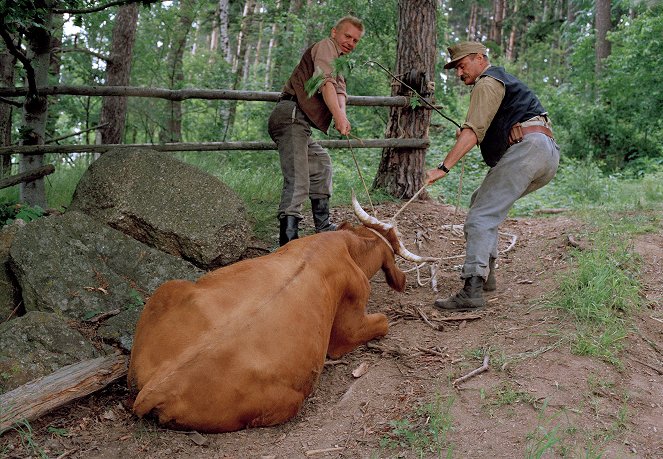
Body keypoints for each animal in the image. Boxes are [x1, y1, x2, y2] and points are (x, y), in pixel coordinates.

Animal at [127, 196, 436, 434]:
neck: (347, 246)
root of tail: (159, 386)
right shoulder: (346, 332)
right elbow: (383, 322)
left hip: (166, 288)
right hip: (291, 401)